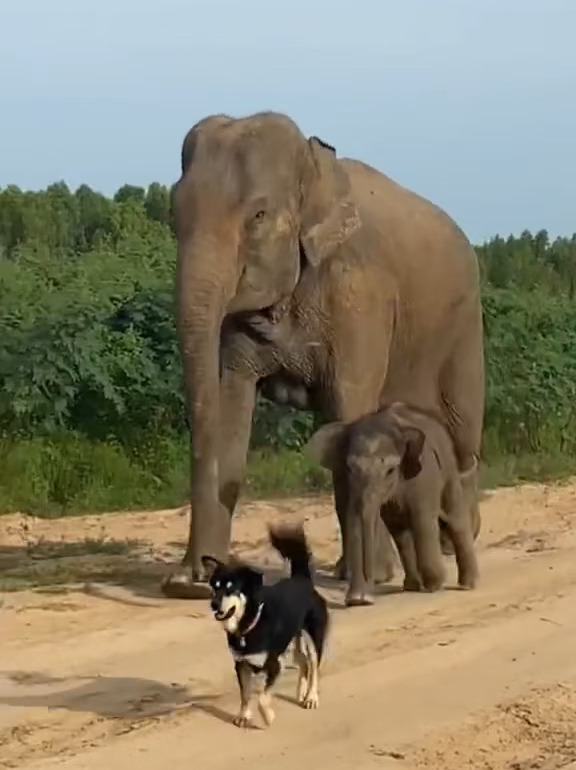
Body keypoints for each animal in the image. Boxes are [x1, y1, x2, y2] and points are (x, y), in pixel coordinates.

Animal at [304, 402, 480, 606]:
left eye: (390, 470)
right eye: (350, 468)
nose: (362, 599)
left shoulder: (424, 475)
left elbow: (422, 519)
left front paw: (434, 585)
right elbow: (371, 519)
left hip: (448, 468)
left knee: (455, 519)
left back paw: (466, 585)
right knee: (399, 531)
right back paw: (411, 585)